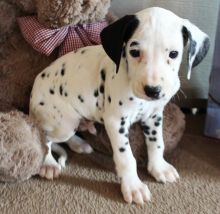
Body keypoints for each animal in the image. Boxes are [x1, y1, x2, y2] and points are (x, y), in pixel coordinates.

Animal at [29, 7, 210, 204]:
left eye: (173, 54)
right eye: (135, 52)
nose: (152, 90)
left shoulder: (154, 117)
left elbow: (157, 143)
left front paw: (158, 168)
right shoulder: (116, 122)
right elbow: (126, 157)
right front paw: (133, 186)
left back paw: (79, 144)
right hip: (64, 124)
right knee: (45, 138)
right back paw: (48, 163)